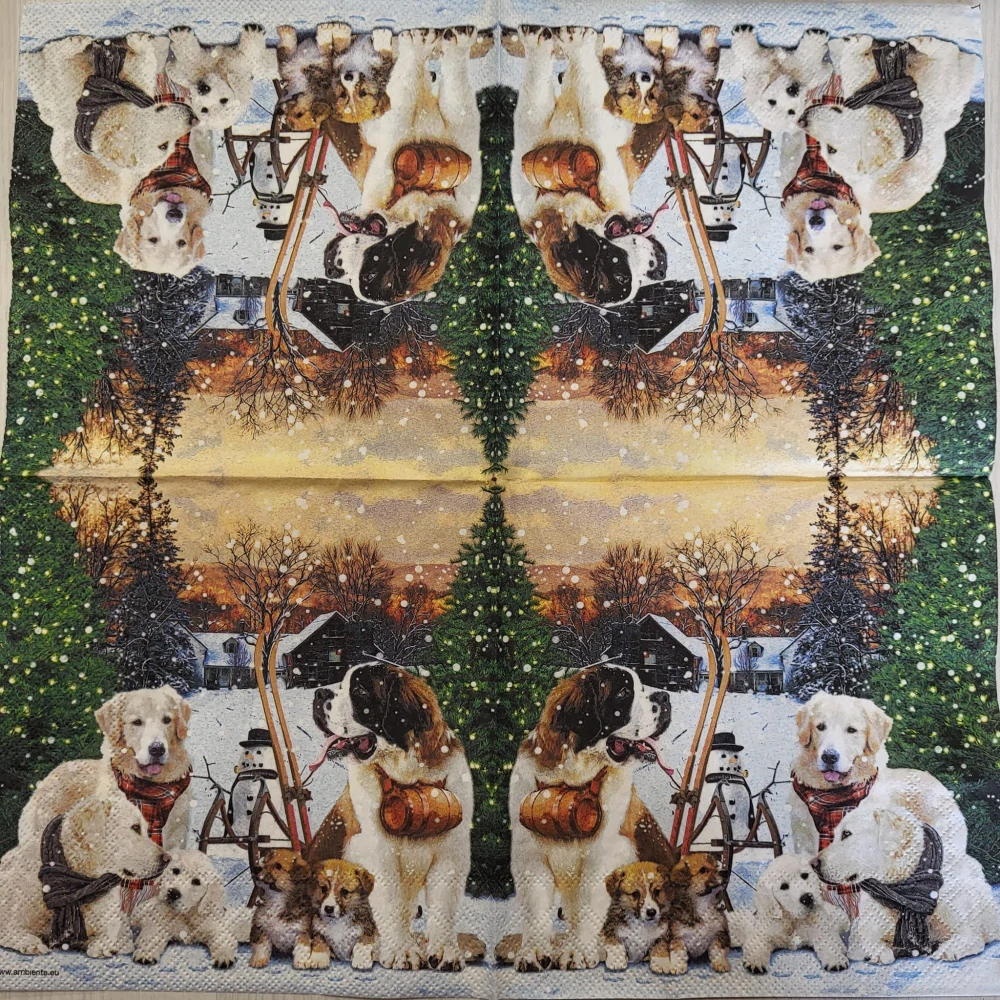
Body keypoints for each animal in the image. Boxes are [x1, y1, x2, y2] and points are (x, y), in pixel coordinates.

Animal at [0, 795, 169, 957]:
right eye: (135, 827)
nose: (168, 859)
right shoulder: (8, 922)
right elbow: (18, 933)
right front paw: (32, 944)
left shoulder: (120, 929)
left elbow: (110, 936)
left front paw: (101, 948)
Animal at [307, 662, 473, 970]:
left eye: (360, 690)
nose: (318, 693)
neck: (408, 778)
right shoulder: (376, 853)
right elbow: (389, 903)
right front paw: (401, 952)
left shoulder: (450, 854)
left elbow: (443, 904)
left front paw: (444, 950)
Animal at [507, 663, 673, 971]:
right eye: (624, 693)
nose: (666, 697)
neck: (573, 779)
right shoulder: (530, 855)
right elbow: (536, 905)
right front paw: (534, 951)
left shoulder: (605, 855)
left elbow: (588, 904)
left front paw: (579, 951)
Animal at [817, 802, 1000, 964]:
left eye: (846, 834)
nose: (813, 863)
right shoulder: (860, 935)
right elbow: (869, 943)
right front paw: (880, 954)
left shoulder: (968, 932)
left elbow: (966, 939)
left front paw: (946, 950)